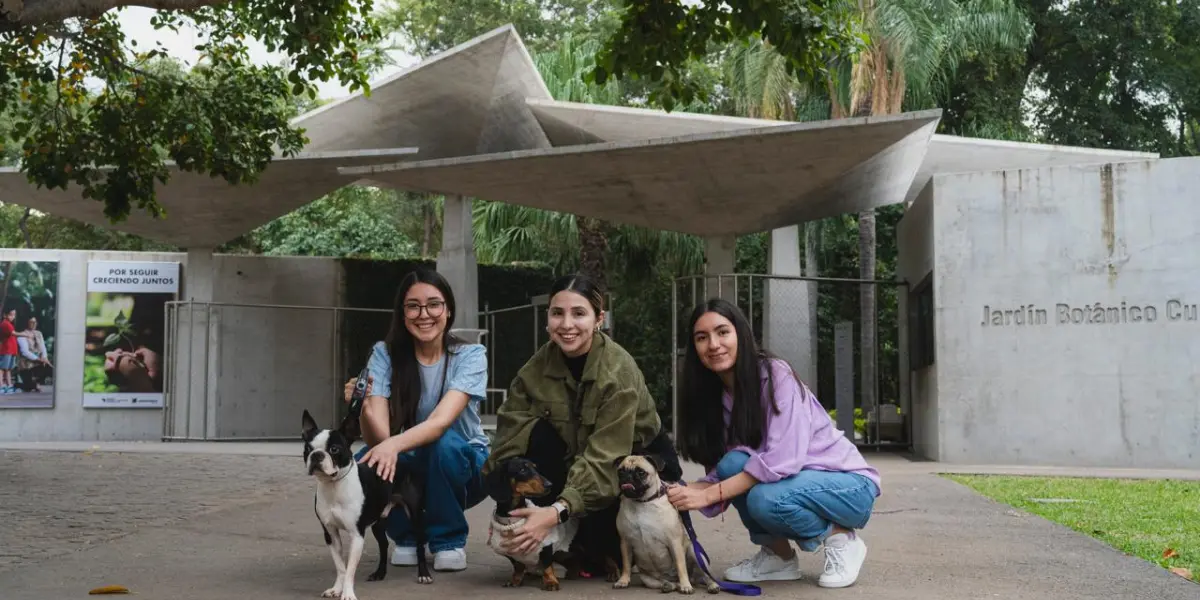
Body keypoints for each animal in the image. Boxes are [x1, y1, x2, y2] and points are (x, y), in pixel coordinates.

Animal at [302, 408, 434, 600]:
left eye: (334, 449)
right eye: (307, 448)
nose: (317, 455)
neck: (334, 485)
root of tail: (400, 458)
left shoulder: (356, 534)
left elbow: (350, 569)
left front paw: (348, 594)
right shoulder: (330, 533)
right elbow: (341, 566)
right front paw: (336, 589)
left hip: (415, 516)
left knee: (419, 544)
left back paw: (424, 574)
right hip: (378, 521)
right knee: (383, 544)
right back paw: (380, 573)